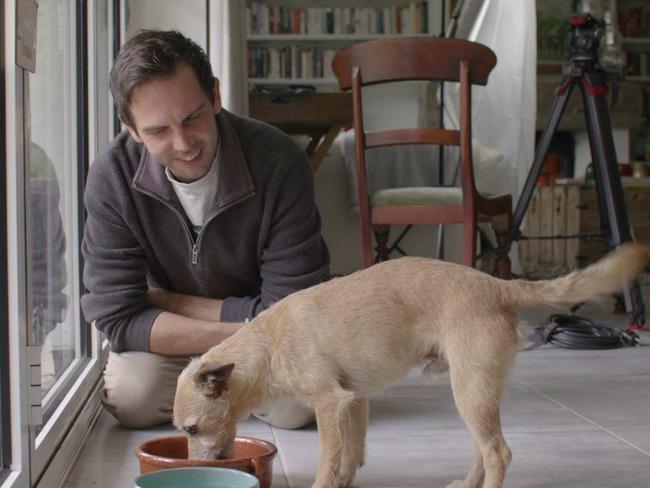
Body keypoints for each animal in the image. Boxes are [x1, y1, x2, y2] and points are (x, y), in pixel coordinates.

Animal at [171, 244, 644, 488]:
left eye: (191, 430)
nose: (194, 465)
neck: (267, 344)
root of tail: (498, 286)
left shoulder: (328, 403)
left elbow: (328, 461)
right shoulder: (353, 401)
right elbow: (351, 455)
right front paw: (346, 480)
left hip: (469, 390)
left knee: (499, 452)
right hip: (477, 392)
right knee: (485, 448)